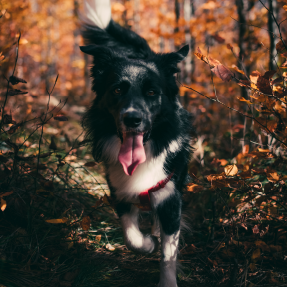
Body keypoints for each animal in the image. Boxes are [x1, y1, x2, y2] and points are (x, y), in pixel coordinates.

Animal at [80, 1, 195, 286]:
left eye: (152, 92)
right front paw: (148, 243)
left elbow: (168, 253)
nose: (133, 119)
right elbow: (131, 237)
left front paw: (167, 280)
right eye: (117, 90)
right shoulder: (119, 189)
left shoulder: (170, 195)